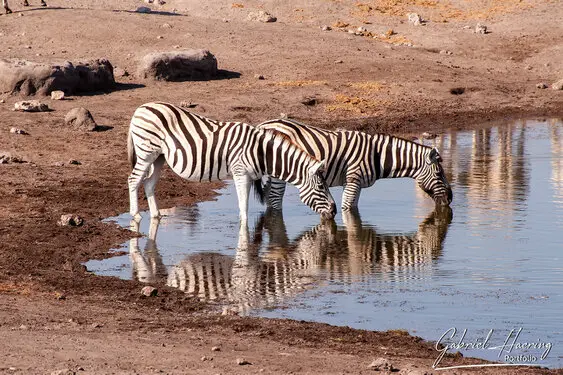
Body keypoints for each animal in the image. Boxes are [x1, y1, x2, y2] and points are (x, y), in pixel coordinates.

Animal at [128, 103, 338, 225]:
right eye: (321, 186)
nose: (334, 211)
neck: (261, 152)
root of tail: (142, 107)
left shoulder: (248, 176)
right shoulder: (240, 173)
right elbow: (243, 207)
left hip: (159, 157)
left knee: (148, 183)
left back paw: (156, 215)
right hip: (146, 152)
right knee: (133, 180)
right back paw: (135, 215)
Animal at [256, 118, 454, 212]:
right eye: (439, 174)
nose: (451, 199)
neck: (378, 155)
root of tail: (263, 124)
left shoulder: (355, 185)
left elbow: (353, 209)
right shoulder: (353, 180)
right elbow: (348, 209)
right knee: (274, 198)